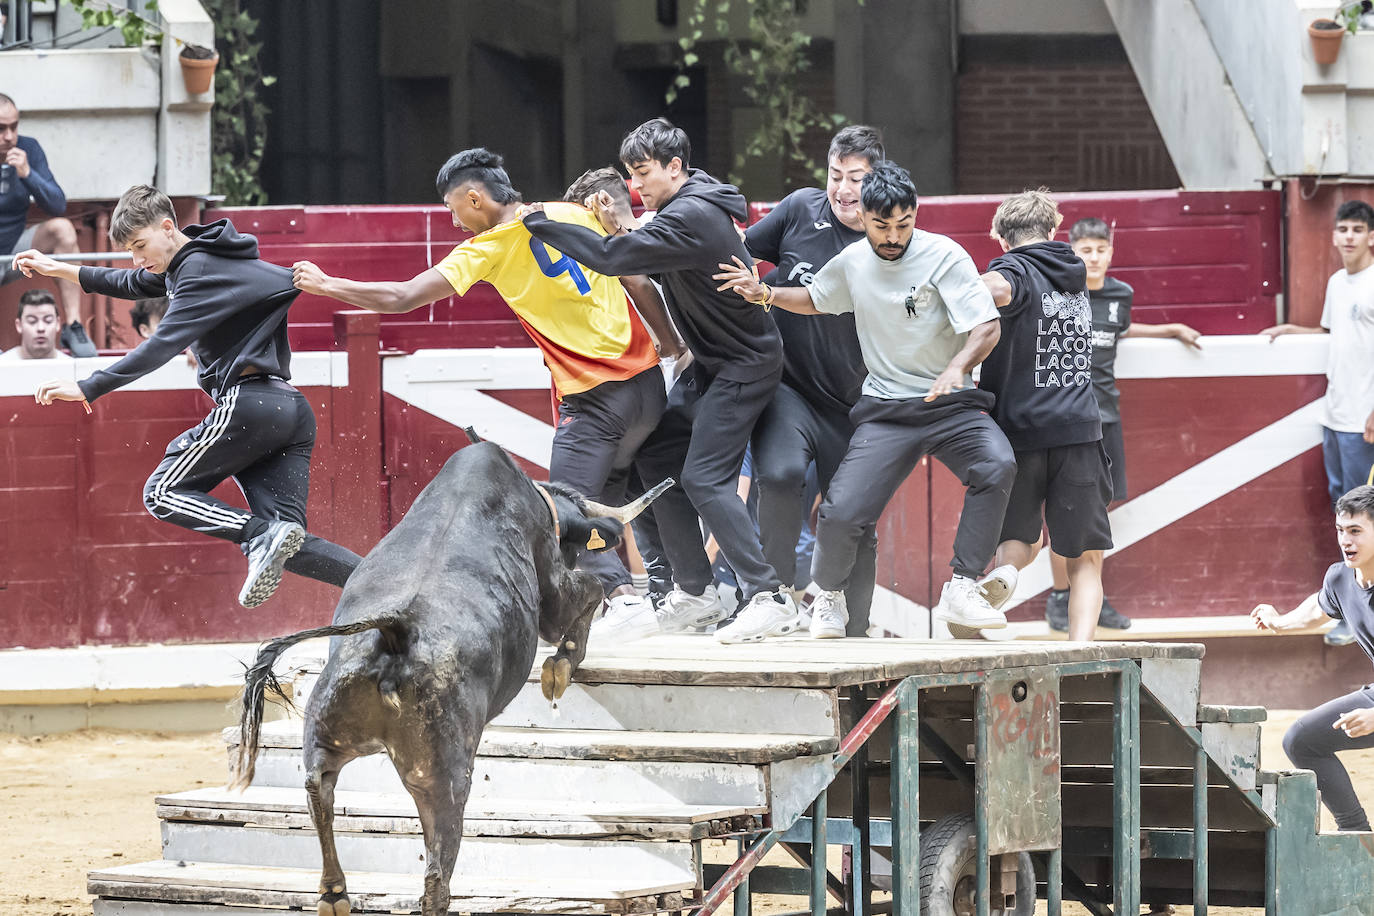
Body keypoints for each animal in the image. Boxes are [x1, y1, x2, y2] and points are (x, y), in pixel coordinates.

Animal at [232, 444, 670, 916]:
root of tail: (395, 631)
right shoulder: (553, 590)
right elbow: (587, 591)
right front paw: (561, 666)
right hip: (443, 774)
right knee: (436, 870)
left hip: (324, 729)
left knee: (319, 789)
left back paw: (334, 894)